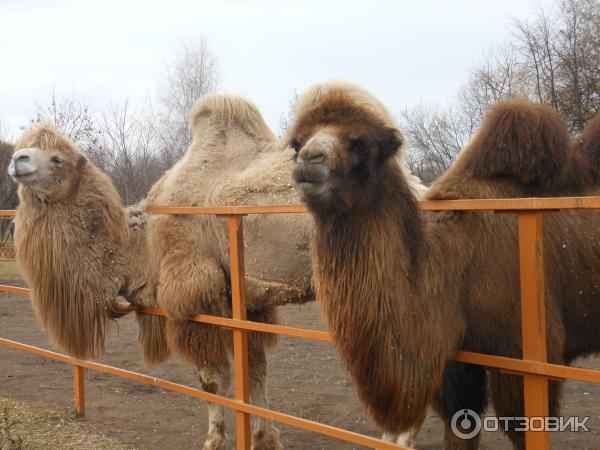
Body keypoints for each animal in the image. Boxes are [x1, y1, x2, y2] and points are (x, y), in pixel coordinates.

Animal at [290, 81, 600, 450]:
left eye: (361, 143)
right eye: (296, 143)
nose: (309, 161)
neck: (455, 267)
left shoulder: (527, 359)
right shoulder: (454, 365)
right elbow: (459, 429)